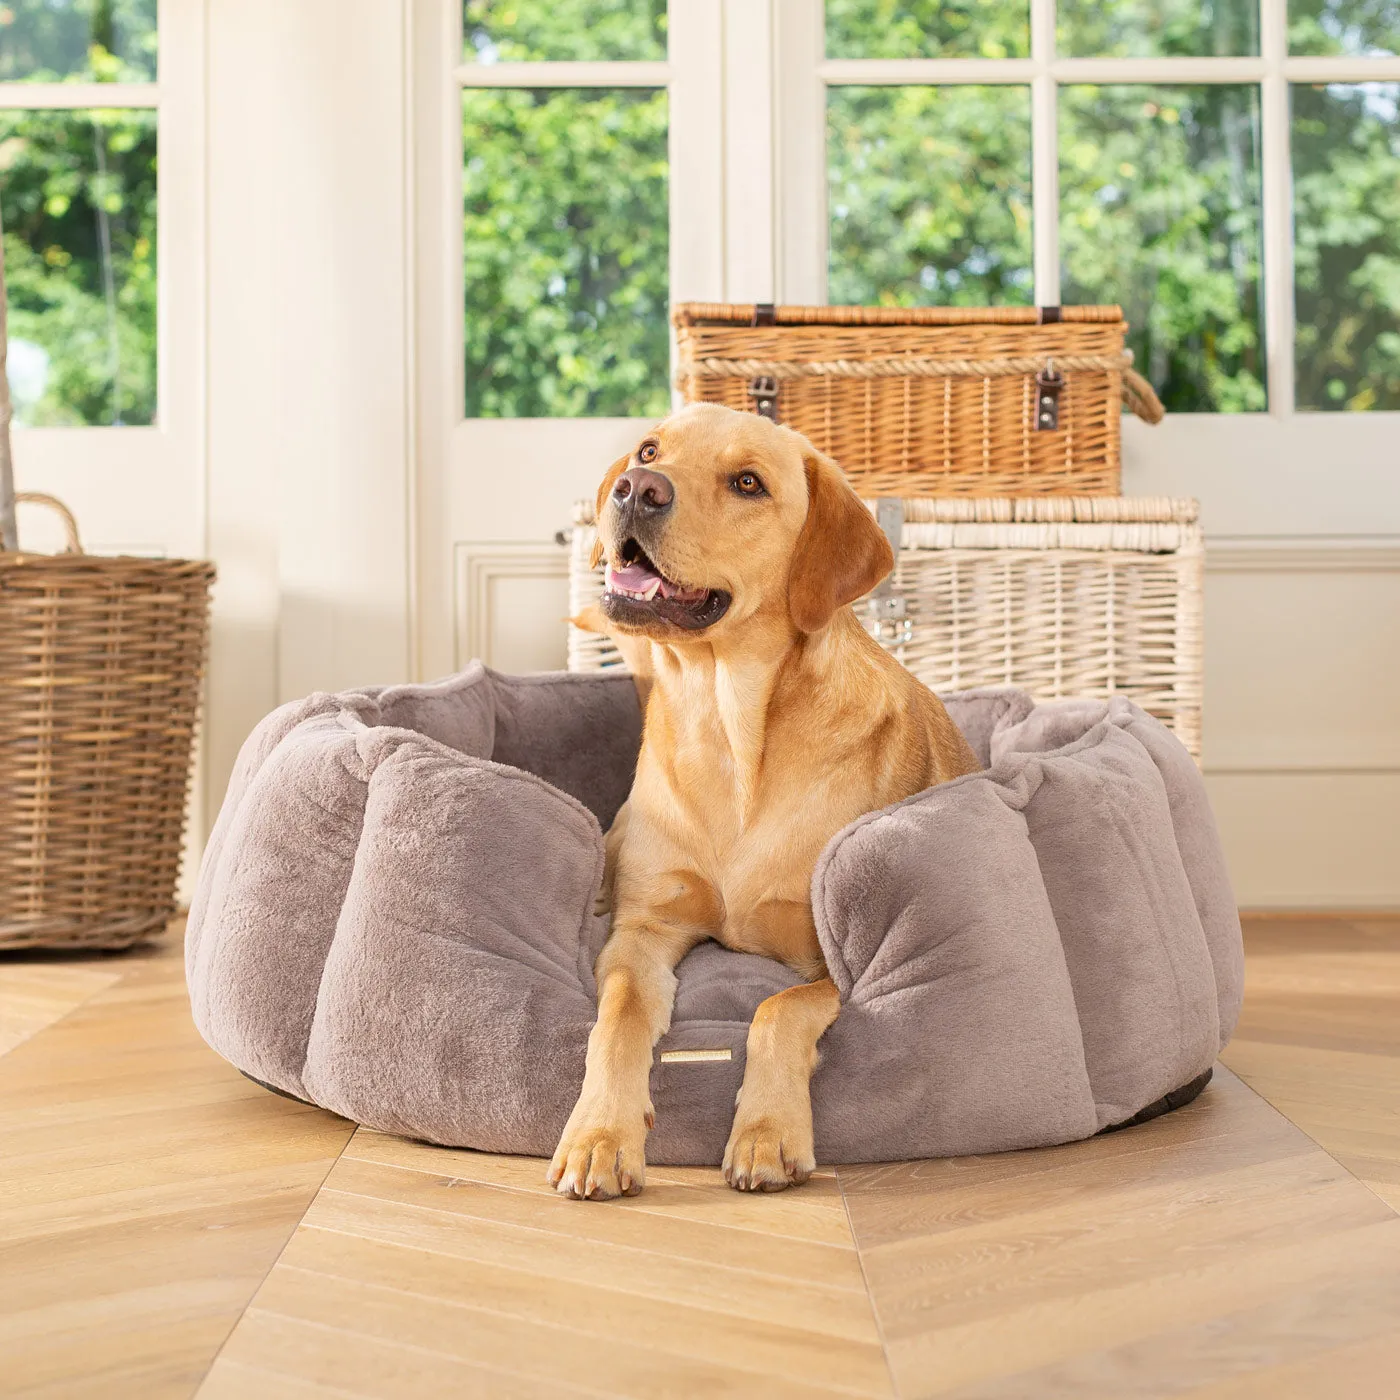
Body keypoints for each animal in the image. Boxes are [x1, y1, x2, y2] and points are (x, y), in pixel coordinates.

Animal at [546, 400, 974, 1198]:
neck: (728, 729)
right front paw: (599, 1134)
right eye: (649, 450)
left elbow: (777, 1007)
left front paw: (766, 1132)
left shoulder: (835, 970)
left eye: (748, 483)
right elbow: (616, 1019)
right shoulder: (643, 932)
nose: (637, 489)